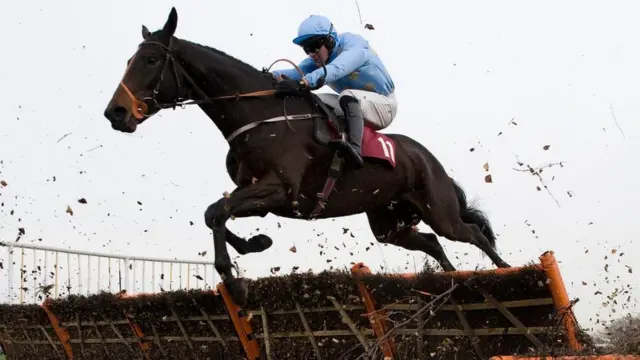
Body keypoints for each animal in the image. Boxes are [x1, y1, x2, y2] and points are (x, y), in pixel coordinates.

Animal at [101, 7, 510, 306]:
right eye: (129, 60)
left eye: (150, 60)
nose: (115, 113)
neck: (258, 115)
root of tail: (429, 159)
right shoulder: (260, 198)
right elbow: (214, 213)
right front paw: (255, 245)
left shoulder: (281, 190)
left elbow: (217, 211)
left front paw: (235, 284)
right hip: (388, 223)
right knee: (432, 242)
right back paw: (450, 279)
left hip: (438, 209)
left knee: (472, 233)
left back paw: (505, 270)